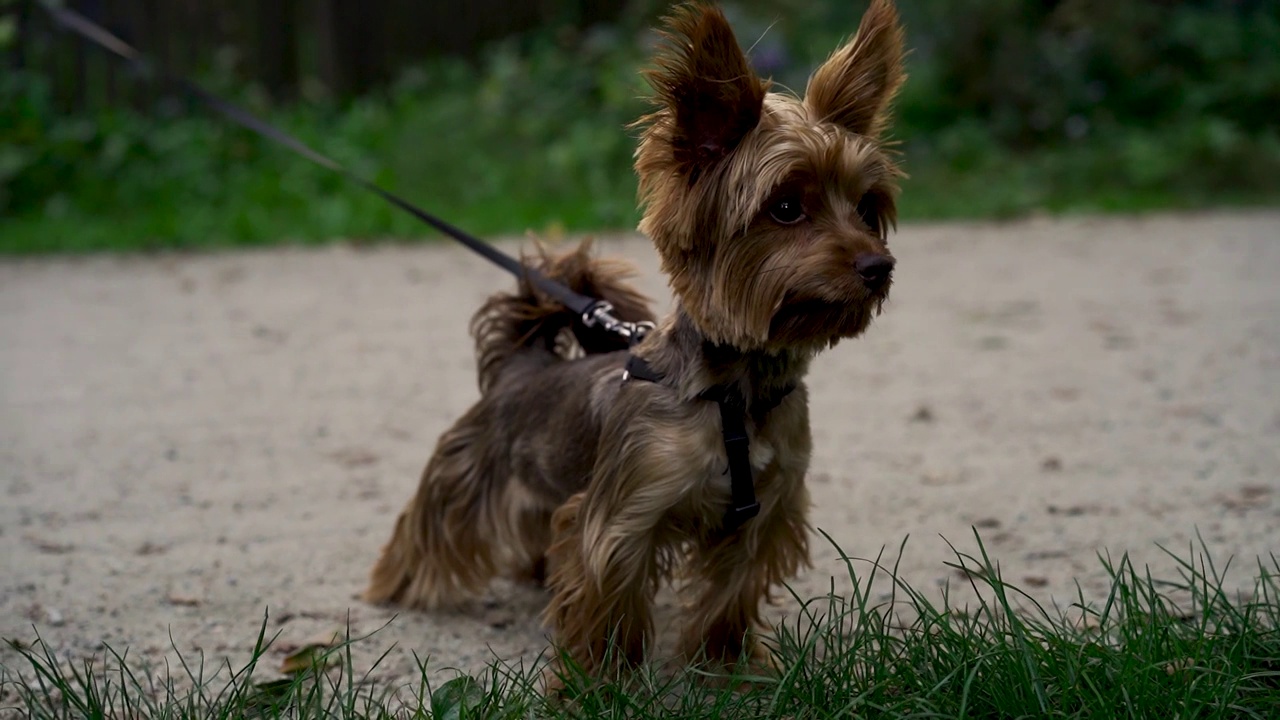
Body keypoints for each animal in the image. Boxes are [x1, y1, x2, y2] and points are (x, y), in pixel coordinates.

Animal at [368, 0, 911, 676]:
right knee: (431, 528)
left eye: (866, 207)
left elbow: (730, 595)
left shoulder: (763, 513)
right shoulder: (622, 517)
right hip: (465, 475)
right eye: (786, 208)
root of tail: (524, 365)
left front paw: (725, 667)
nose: (878, 266)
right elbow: (608, 605)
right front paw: (597, 683)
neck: (736, 394)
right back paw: (393, 586)